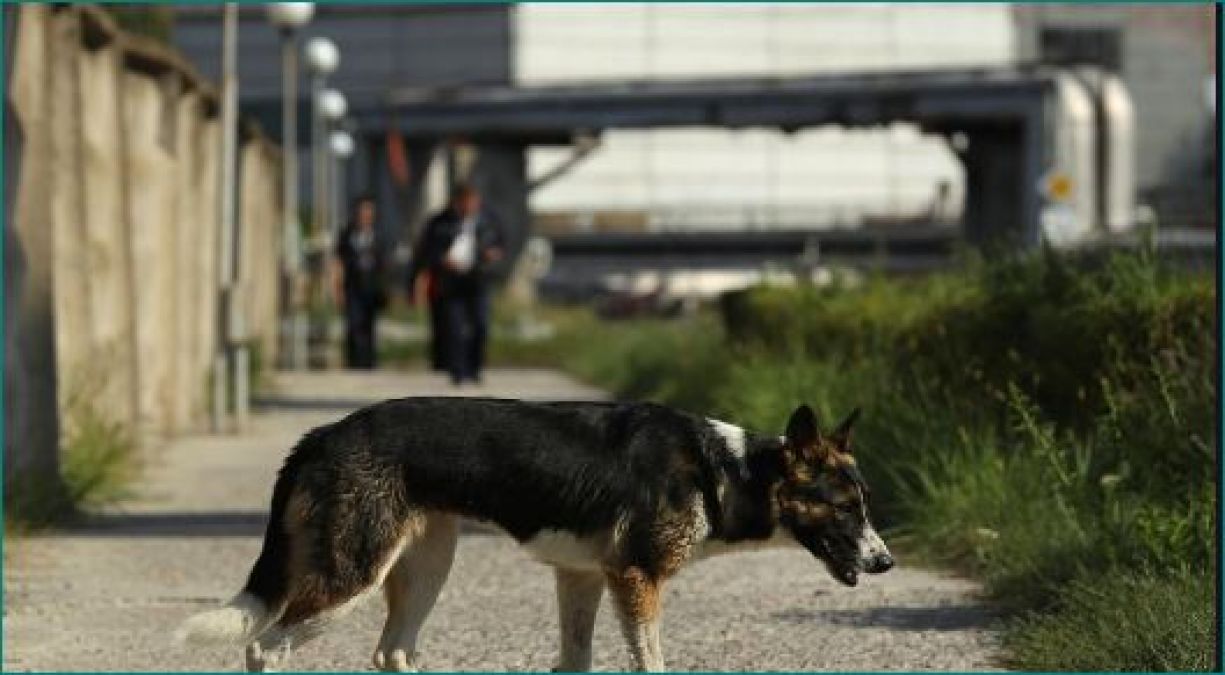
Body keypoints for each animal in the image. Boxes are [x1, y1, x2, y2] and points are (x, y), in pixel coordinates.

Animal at [178, 399, 891, 671]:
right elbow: (652, 661)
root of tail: (320, 436)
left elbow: (576, 659)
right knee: (265, 648)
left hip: (428, 565)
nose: (886, 561)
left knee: (391, 652)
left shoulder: (582, 578)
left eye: (866, 504)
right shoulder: (636, 580)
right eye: (843, 507)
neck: (725, 469)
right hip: (351, 574)